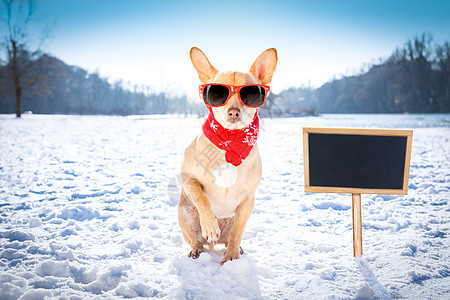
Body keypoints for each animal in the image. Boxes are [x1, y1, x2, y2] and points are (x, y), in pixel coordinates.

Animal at [178, 45, 276, 264]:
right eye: (218, 93)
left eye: (248, 94)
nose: (233, 112)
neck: (228, 143)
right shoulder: (188, 179)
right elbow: (202, 198)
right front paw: (209, 225)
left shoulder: (248, 199)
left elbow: (237, 233)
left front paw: (231, 258)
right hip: (185, 213)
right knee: (196, 241)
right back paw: (197, 249)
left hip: (234, 218)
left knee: (232, 237)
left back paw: (235, 249)